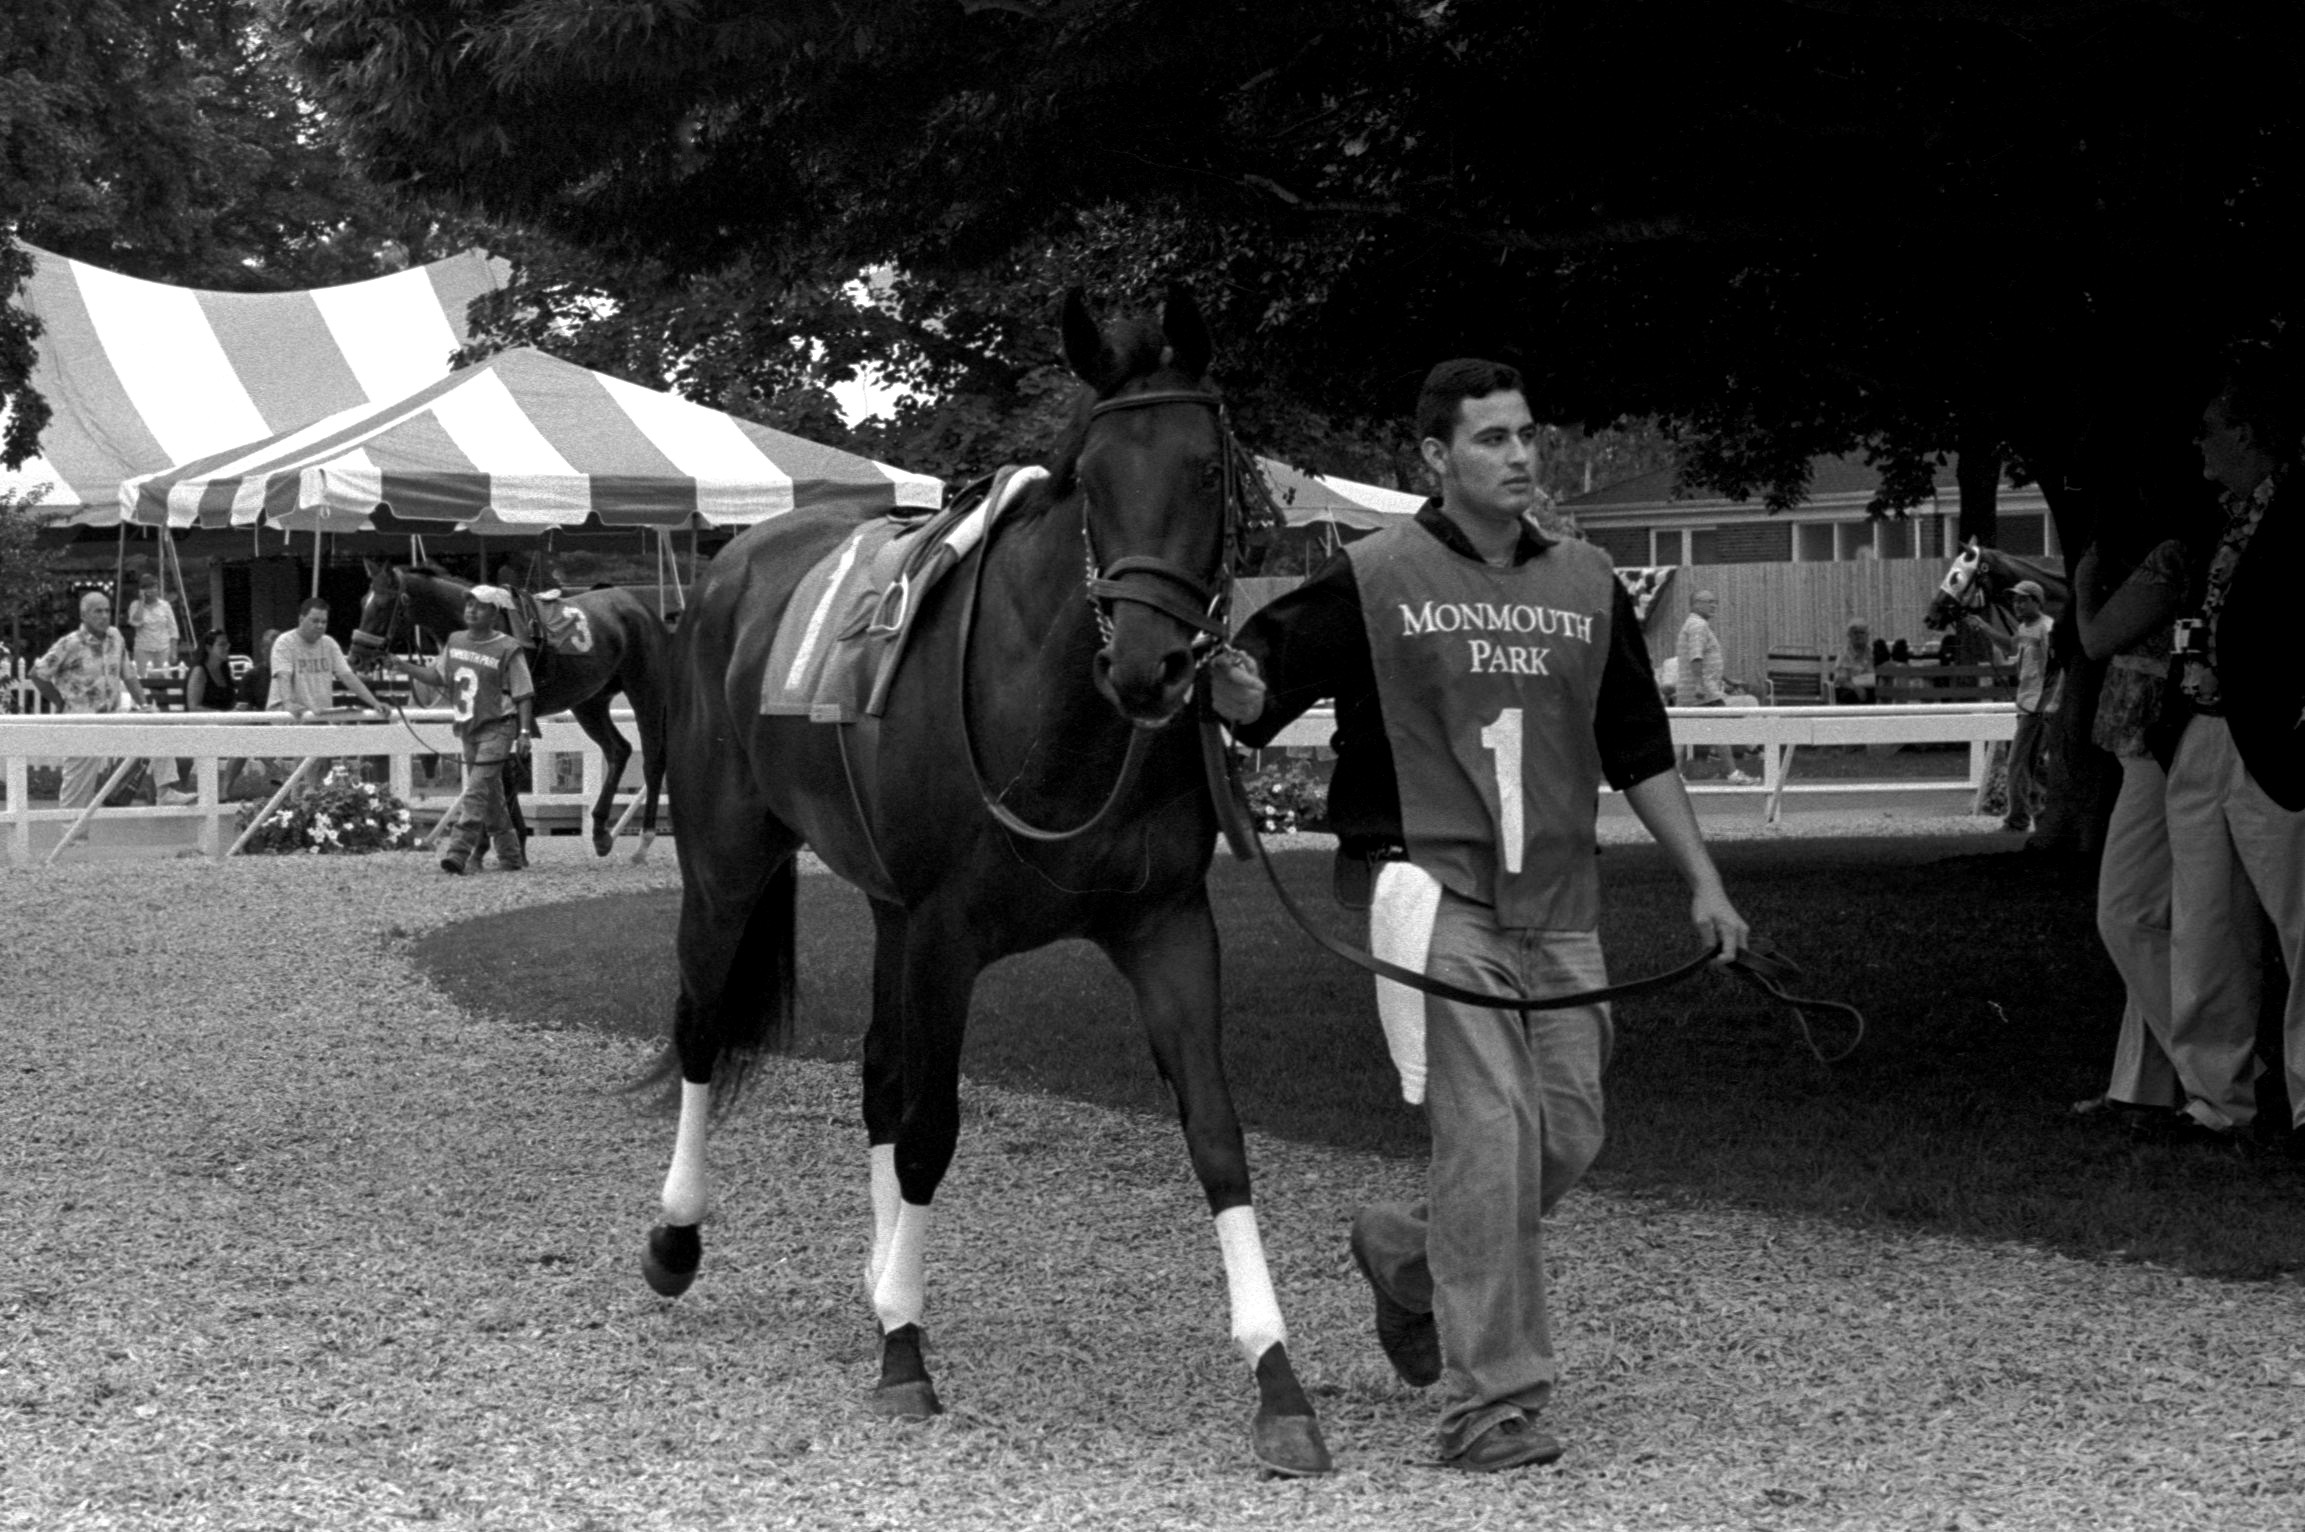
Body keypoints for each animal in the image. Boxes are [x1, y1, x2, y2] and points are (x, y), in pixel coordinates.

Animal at [351, 561, 671, 860]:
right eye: (363, 601)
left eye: (382, 605)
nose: (356, 656)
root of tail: (641, 607)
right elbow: (497, 774)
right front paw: (512, 843)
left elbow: (497, 775)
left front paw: (485, 846)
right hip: (590, 702)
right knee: (618, 750)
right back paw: (600, 833)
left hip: (646, 694)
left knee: (652, 761)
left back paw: (644, 841)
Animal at [637, 285, 1332, 1477]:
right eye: (1090, 479)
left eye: (1206, 470)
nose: (1148, 668)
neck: (1057, 714)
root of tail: (735, 563)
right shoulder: (945, 934)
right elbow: (931, 1128)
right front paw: (905, 1356)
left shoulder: (1165, 924)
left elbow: (1215, 1133)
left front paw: (1276, 1377)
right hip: (728, 863)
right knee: (700, 1023)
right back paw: (680, 1239)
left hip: (879, 908)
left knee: (872, 1071)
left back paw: (875, 1284)